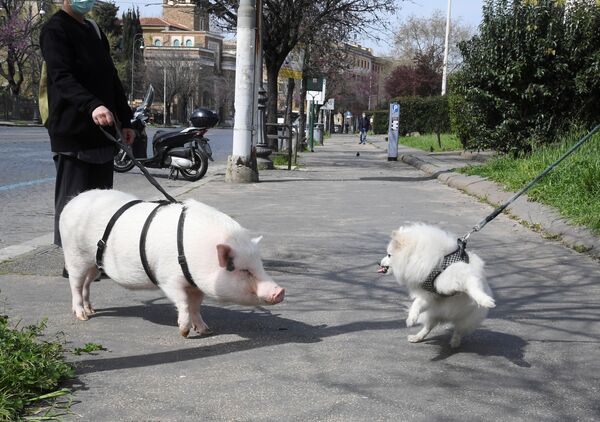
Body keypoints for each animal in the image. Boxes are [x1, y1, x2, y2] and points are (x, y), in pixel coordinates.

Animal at [59, 190, 284, 338]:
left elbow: (196, 306)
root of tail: (71, 202)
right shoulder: (168, 279)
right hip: (74, 255)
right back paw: (82, 316)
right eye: (243, 270)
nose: (280, 291)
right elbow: (183, 302)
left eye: (260, 265)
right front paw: (184, 332)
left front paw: (206, 330)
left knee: (87, 284)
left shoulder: (196, 283)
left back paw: (91, 310)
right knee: (75, 284)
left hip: (93, 264)